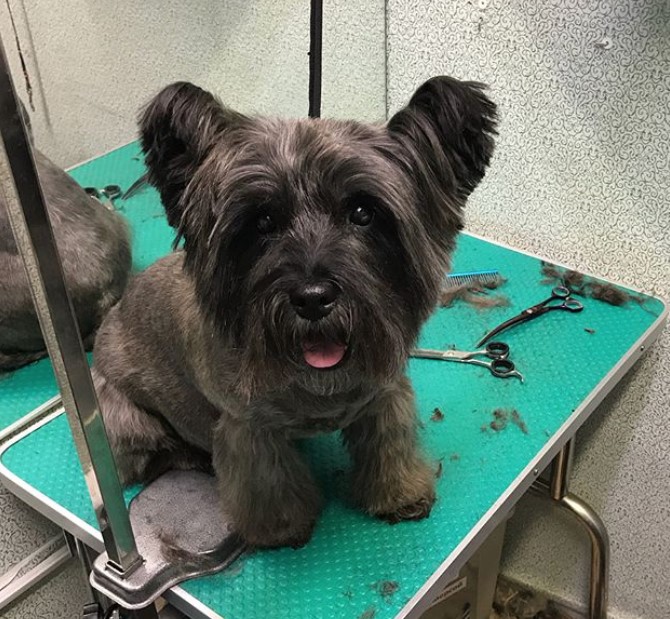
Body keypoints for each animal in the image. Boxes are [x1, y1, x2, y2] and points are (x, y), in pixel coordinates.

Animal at [92, 76, 496, 548]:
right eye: (263, 221)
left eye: (363, 212)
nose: (313, 298)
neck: (318, 386)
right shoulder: (249, 431)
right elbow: (270, 485)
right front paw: (282, 529)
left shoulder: (385, 395)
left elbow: (389, 448)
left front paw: (399, 493)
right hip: (124, 418)